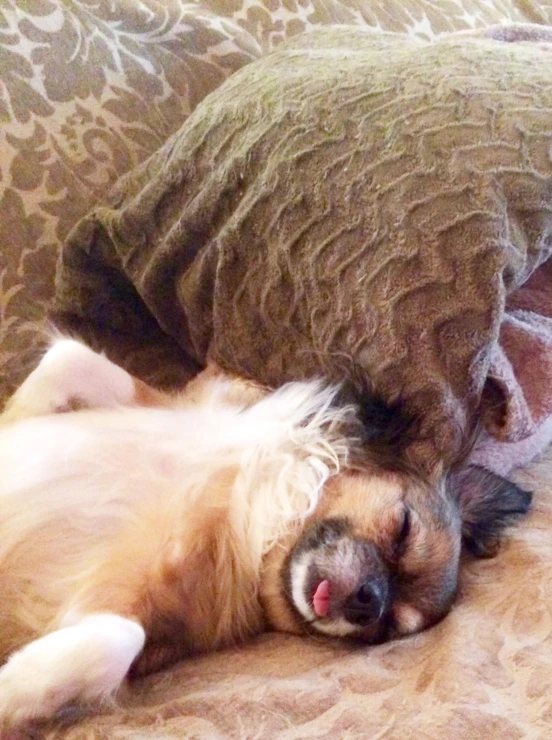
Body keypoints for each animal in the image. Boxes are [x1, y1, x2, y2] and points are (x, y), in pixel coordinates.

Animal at [0, 340, 532, 728]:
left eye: (387, 628)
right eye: (403, 529)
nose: (369, 600)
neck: (250, 510)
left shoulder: (131, 620)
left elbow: (118, 640)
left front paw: (13, 687)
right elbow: (68, 357)